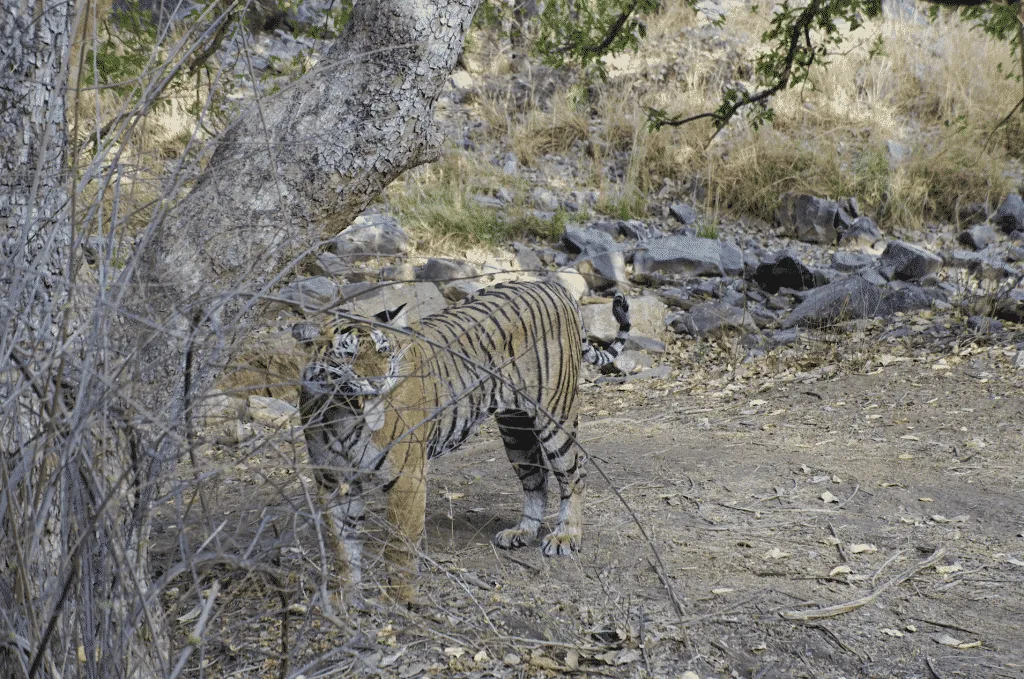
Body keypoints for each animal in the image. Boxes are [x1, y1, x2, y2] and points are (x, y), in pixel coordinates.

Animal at [290, 278, 630, 602]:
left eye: (383, 350)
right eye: (348, 354)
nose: (379, 381)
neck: (341, 415)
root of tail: (550, 284)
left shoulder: (407, 478)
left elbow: (399, 544)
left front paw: (399, 601)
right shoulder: (333, 482)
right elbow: (341, 547)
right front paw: (344, 599)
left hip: (555, 415)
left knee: (575, 474)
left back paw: (566, 536)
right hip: (515, 429)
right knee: (536, 478)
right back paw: (522, 531)